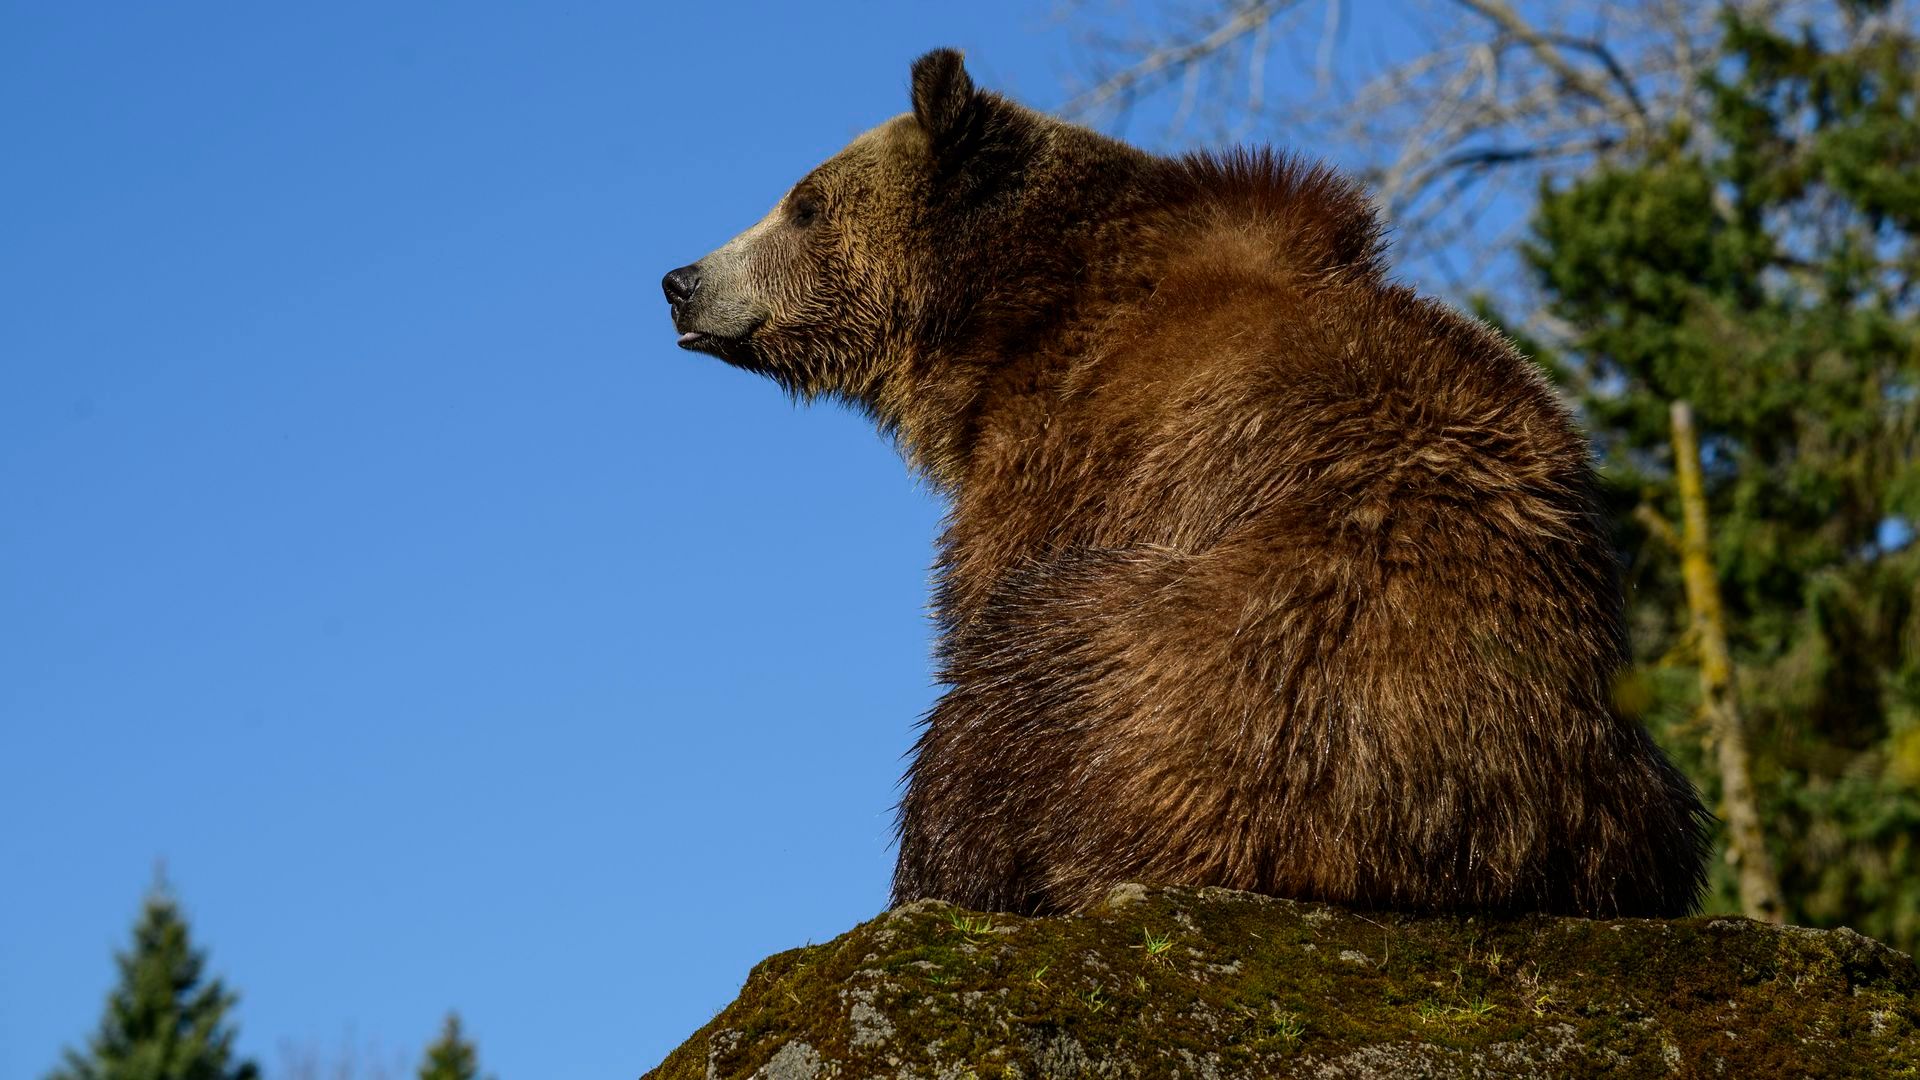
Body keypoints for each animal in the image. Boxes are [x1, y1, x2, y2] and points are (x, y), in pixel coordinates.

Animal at [662, 49, 1711, 918]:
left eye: (803, 201)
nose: (680, 280)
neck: (1008, 321)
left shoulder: (1073, 459)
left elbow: (978, 607)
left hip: (1230, 683)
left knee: (1008, 701)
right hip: (1634, 784)